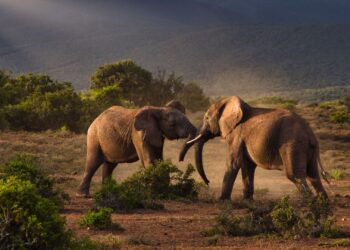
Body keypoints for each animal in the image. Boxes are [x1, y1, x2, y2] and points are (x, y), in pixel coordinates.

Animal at [179, 95, 330, 199]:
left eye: (206, 118)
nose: (208, 182)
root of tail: (311, 134)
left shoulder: (236, 135)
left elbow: (233, 164)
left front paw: (222, 200)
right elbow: (247, 166)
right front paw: (247, 200)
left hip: (293, 145)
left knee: (295, 176)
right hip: (307, 149)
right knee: (313, 176)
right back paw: (323, 205)